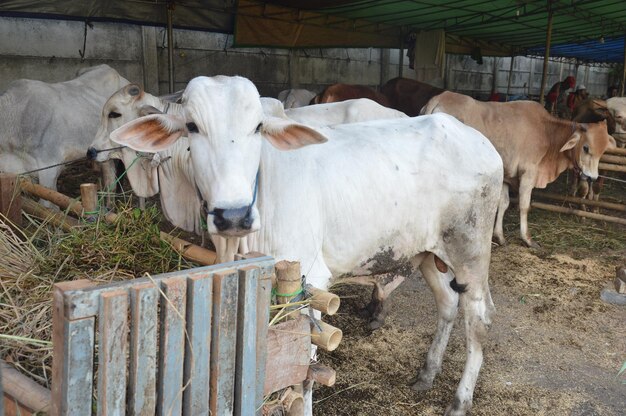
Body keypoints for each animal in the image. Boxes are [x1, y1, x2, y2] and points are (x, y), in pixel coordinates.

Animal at [111, 75, 502, 416]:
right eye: (192, 126)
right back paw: (427, 373)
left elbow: (303, 374)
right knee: (448, 303)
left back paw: (460, 400)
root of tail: (478, 141)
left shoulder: (307, 283)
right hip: (427, 253)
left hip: (470, 250)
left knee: (479, 318)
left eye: (257, 127)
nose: (233, 215)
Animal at [420, 91, 616, 247]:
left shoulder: (507, 175)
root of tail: (439, 97)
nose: (592, 177)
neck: (547, 132)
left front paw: (499, 237)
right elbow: (524, 206)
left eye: (603, 151)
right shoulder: (528, 174)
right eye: (586, 148)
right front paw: (527, 239)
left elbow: (504, 203)